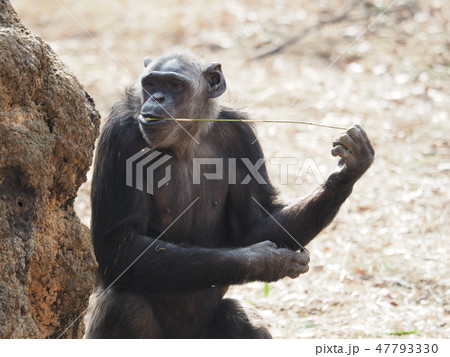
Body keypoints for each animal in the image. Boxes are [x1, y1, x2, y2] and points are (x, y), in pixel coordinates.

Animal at [82, 52, 374, 336]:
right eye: (151, 84)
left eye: (175, 85)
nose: (157, 98)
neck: (185, 141)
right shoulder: (120, 137)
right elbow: (119, 243)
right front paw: (266, 261)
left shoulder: (241, 135)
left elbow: (255, 225)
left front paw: (348, 168)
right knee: (126, 306)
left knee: (244, 320)